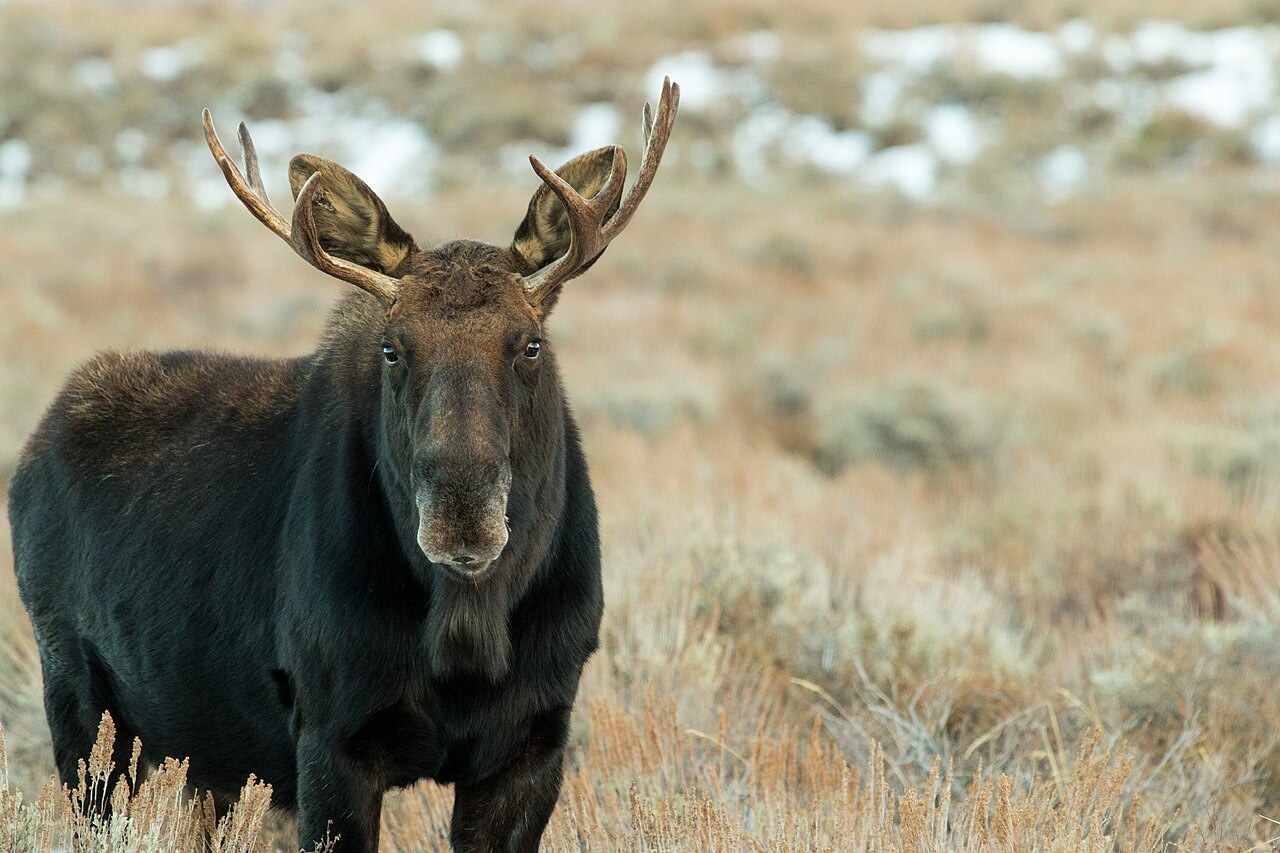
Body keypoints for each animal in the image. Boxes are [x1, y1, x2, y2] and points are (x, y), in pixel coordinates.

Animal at [7, 78, 679, 851]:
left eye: (531, 343)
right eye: (393, 347)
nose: (461, 517)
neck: (465, 638)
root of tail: (29, 454)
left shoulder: (534, 740)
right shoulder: (331, 737)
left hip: (203, 760)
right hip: (80, 704)